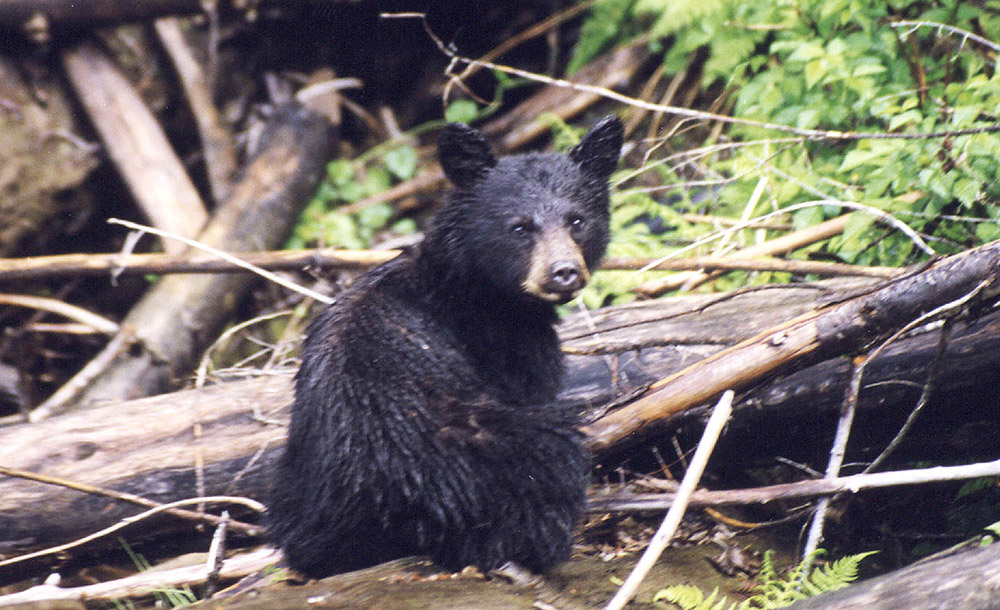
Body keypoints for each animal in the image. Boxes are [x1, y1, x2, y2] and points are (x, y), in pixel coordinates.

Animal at [270, 114, 620, 576]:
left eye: (577, 221)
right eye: (520, 227)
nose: (563, 272)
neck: (471, 286)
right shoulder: (506, 348)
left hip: (302, 491)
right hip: (500, 455)